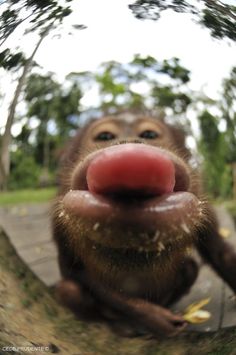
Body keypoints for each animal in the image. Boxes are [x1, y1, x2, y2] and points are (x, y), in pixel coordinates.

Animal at [52, 112, 236, 338]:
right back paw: (120, 324)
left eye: (149, 134)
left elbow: (219, 253)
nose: (129, 144)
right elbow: (74, 270)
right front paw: (155, 317)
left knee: (191, 267)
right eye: (105, 136)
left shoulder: (205, 208)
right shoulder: (58, 218)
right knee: (68, 291)